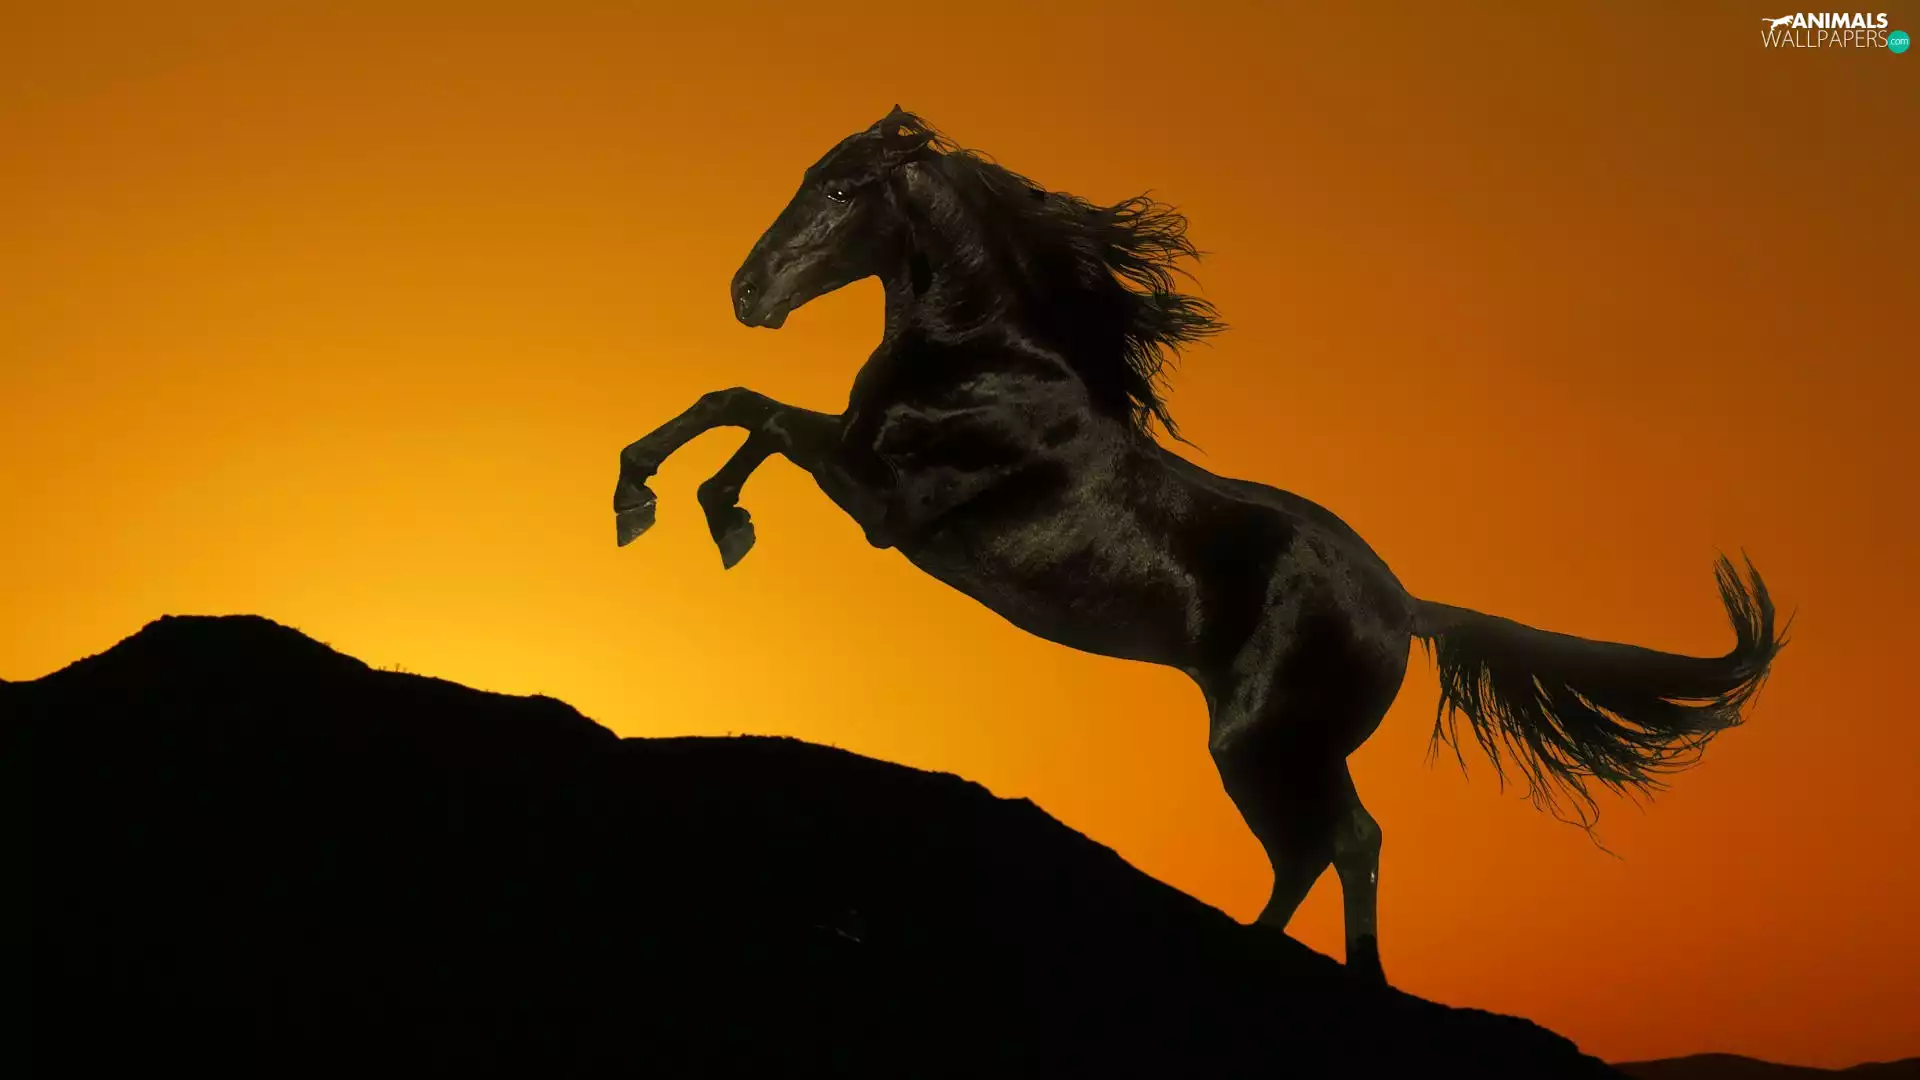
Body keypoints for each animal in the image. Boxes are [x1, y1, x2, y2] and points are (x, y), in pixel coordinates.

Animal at [611, 107, 1786, 984]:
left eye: (843, 190)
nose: (747, 293)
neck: (984, 358)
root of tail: (1407, 607)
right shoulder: (862, 473)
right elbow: (736, 407)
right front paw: (673, 507)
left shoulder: (884, 505)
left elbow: (752, 412)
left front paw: (686, 512)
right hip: (1287, 744)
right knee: (1336, 845)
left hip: (1263, 740)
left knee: (1338, 841)